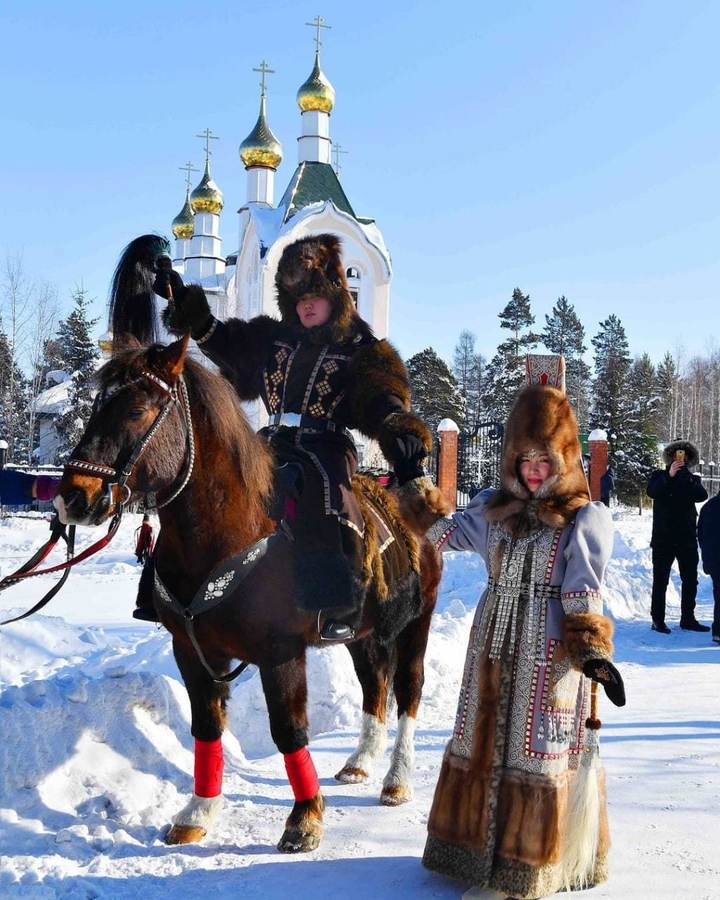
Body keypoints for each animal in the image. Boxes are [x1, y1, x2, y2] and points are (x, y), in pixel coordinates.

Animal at [53, 336, 442, 852]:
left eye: (136, 408)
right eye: (97, 404)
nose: (73, 497)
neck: (229, 534)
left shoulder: (281, 653)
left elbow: (289, 730)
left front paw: (305, 817)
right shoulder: (192, 650)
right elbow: (205, 727)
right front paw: (198, 811)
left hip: (415, 626)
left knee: (407, 690)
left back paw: (397, 779)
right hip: (364, 634)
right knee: (374, 684)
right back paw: (360, 761)